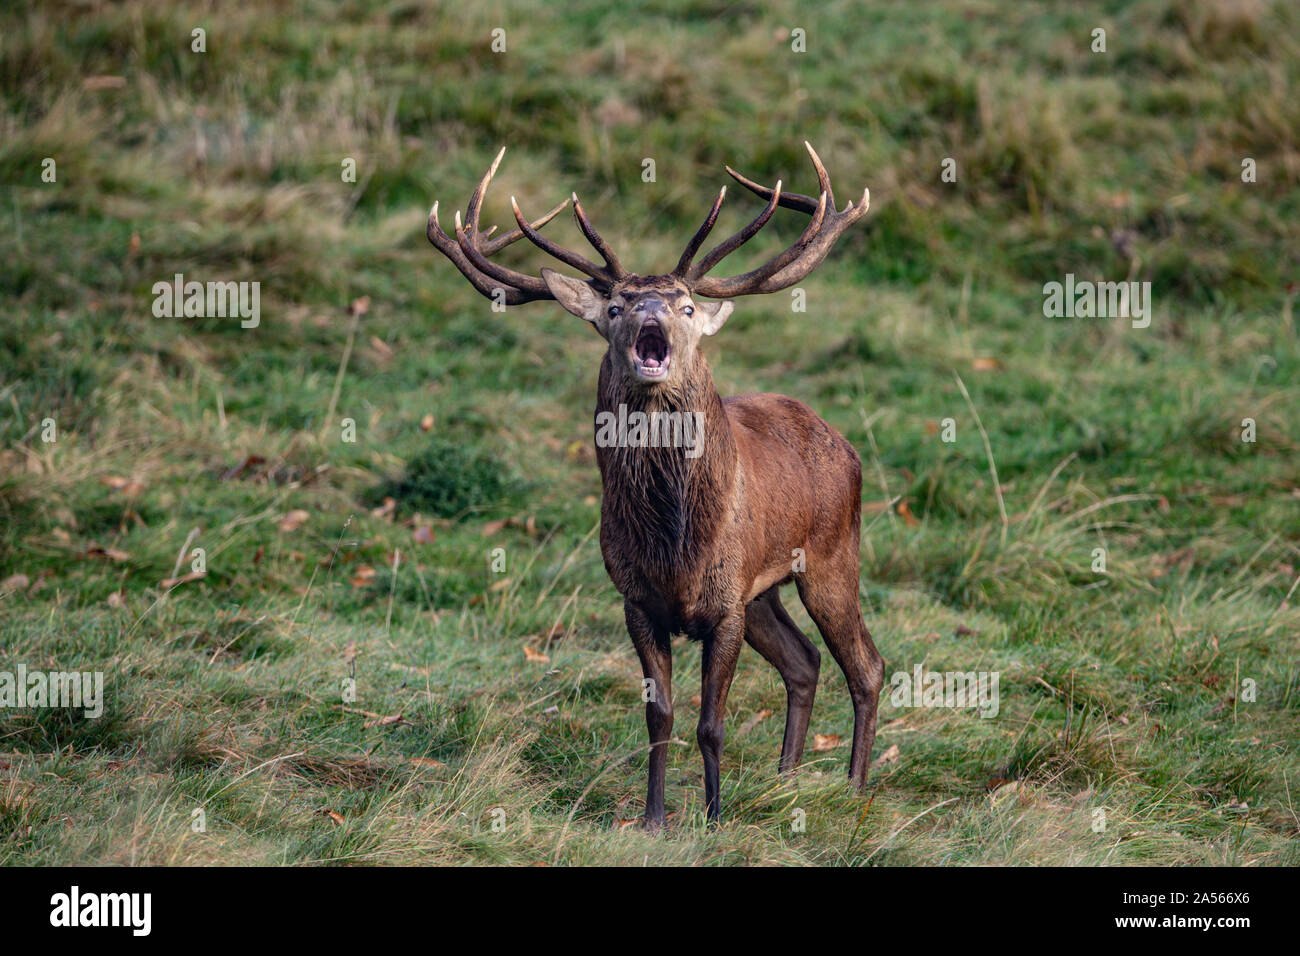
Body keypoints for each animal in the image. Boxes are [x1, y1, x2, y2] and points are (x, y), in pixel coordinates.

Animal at [426, 143, 885, 827]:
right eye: (615, 307)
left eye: (685, 305)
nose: (650, 313)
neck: (676, 546)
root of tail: (843, 442)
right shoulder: (638, 600)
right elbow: (659, 717)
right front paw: (654, 819)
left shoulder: (724, 605)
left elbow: (711, 724)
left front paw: (714, 818)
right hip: (763, 590)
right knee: (804, 662)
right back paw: (785, 778)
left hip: (830, 556)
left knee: (866, 665)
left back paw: (853, 789)